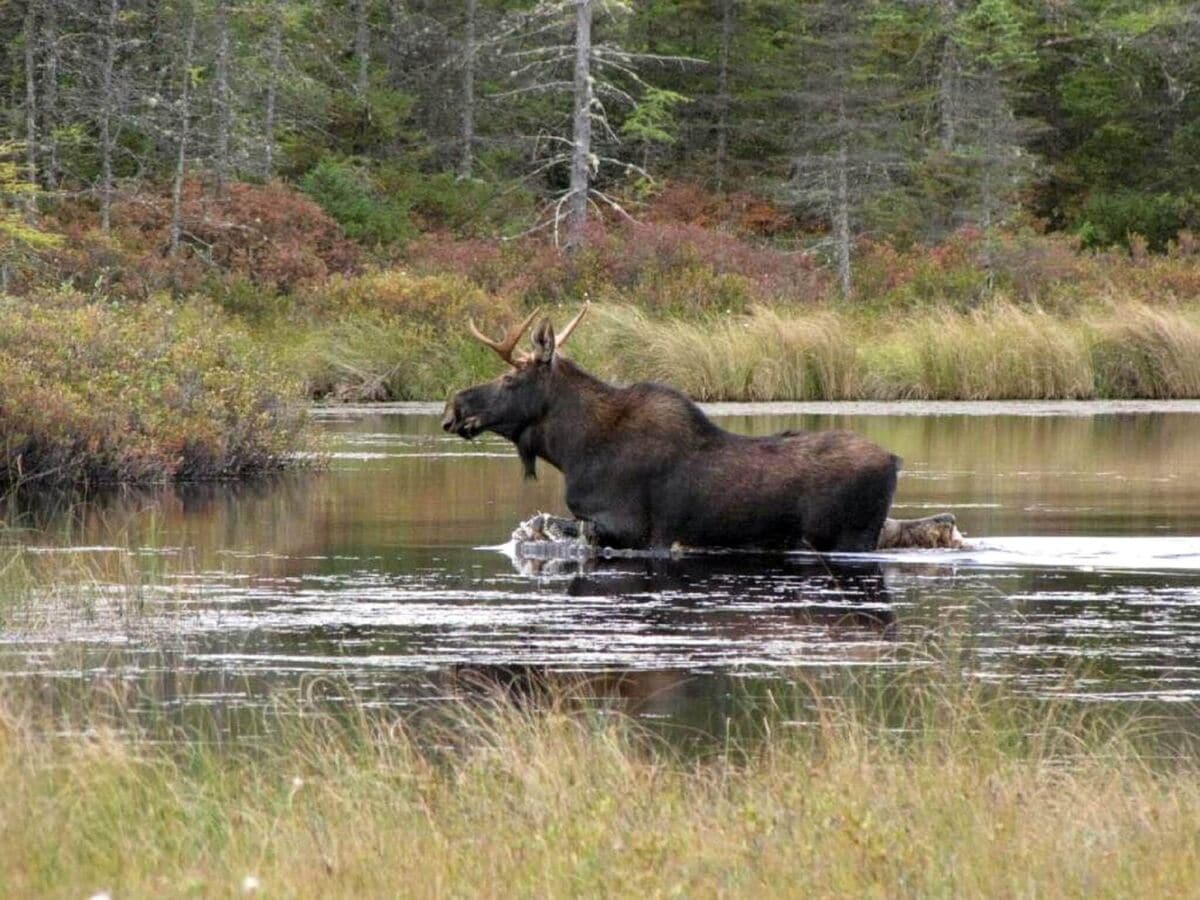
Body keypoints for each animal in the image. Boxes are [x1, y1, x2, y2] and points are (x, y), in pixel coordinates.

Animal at [446, 307, 960, 554]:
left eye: (510, 378)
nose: (454, 407)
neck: (573, 449)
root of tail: (895, 461)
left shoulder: (629, 529)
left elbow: (549, 526)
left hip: (847, 536)